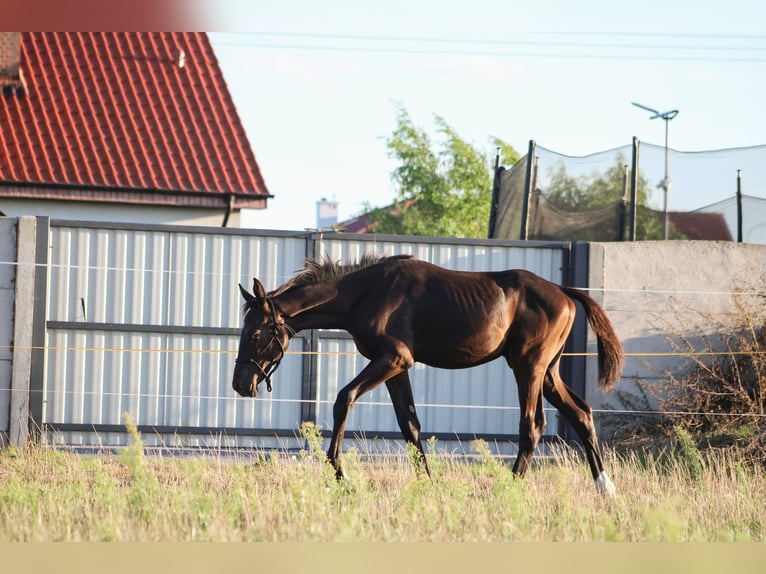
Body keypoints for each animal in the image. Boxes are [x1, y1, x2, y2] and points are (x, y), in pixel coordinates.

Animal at [232, 254, 624, 498]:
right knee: (581, 414)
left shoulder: (393, 359)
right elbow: (410, 425)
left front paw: (340, 475)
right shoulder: (396, 368)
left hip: (528, 368)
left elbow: (344, 399)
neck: (367, 293)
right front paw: (427, 483)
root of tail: (565, 294)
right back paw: (605, 488)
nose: (240, 384)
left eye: (256, 333)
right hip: (548, 373)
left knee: (533, 425)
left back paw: (509, 486)